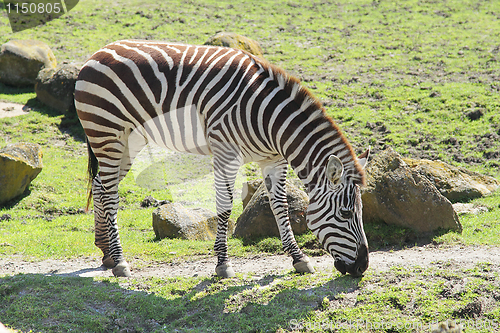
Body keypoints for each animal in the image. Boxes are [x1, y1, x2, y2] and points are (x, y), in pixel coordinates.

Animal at [75, 39, 372, 278]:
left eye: (359, 212)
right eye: (346, 213)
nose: (362, 267)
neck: (269, 120)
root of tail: (98, 52)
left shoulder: (273, 160)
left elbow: (280, 206)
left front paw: (298, 259)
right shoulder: (226, 153)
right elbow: (225, 206)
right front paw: (223, 264)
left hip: (129, 141)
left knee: (100, 187)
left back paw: (106, 254)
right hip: (107, 133)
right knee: (110, 194)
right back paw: (120, 261)